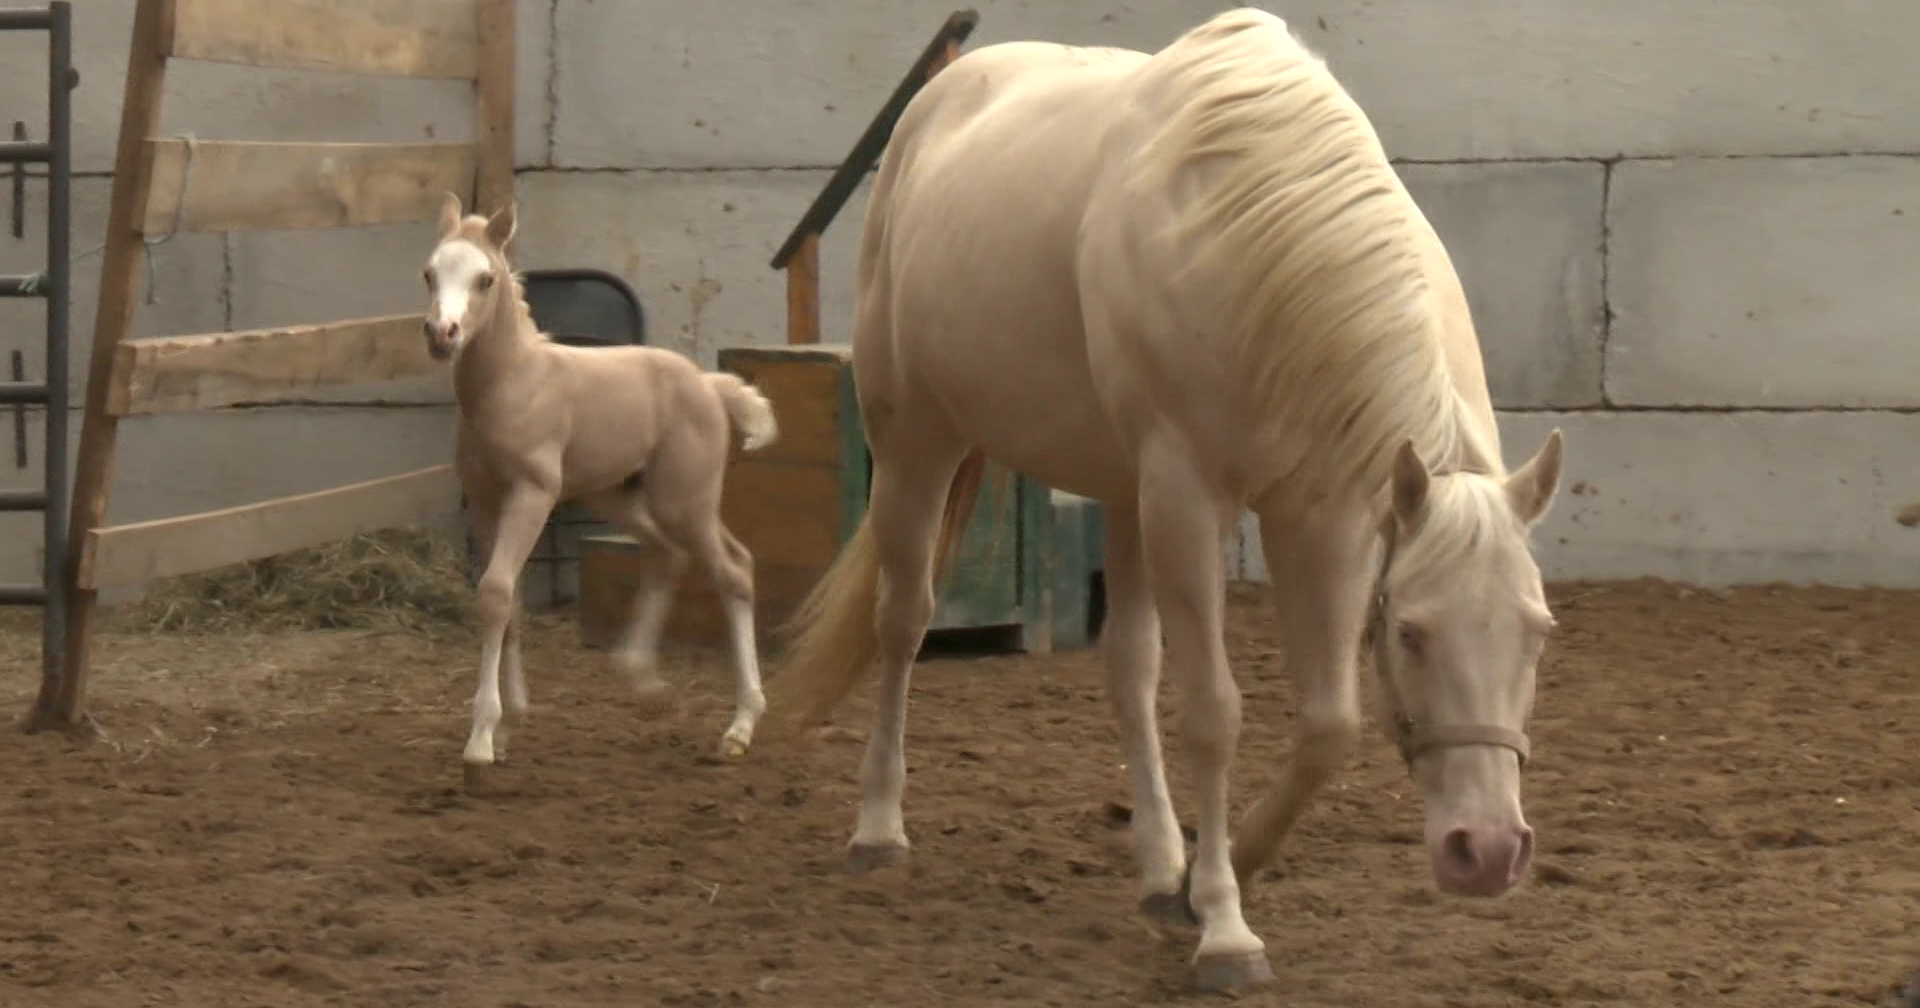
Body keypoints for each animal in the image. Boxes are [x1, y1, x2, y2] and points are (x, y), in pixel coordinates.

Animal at [420, 193, 780, 776]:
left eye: (485, 279)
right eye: (430, 273)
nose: (441, 333)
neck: (512, 383)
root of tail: (707, 384)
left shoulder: (532, 494)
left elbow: (495, 593)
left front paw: (481, 738)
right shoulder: (486, 502)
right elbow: (510, 600)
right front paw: (507, 727)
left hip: (685, 499)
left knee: (734, 570)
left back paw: (740, 725)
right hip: (620, 496)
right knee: (668, 555)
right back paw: (644, 682)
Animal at [766, 8, 1566, 992]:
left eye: (1538, 632)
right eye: (1411, 634)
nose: (1486, 851)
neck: (1262, 238)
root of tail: (933, 110)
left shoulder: (1325, 513)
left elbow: (1328, 723)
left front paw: (1207, 881)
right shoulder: (1189, 499)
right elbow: (1214, 714)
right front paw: (1224, 928)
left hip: (1121, 491)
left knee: (1127, 667)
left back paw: (1157, 864)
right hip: (918, 441)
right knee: (903, 622)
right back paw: (879, 829)